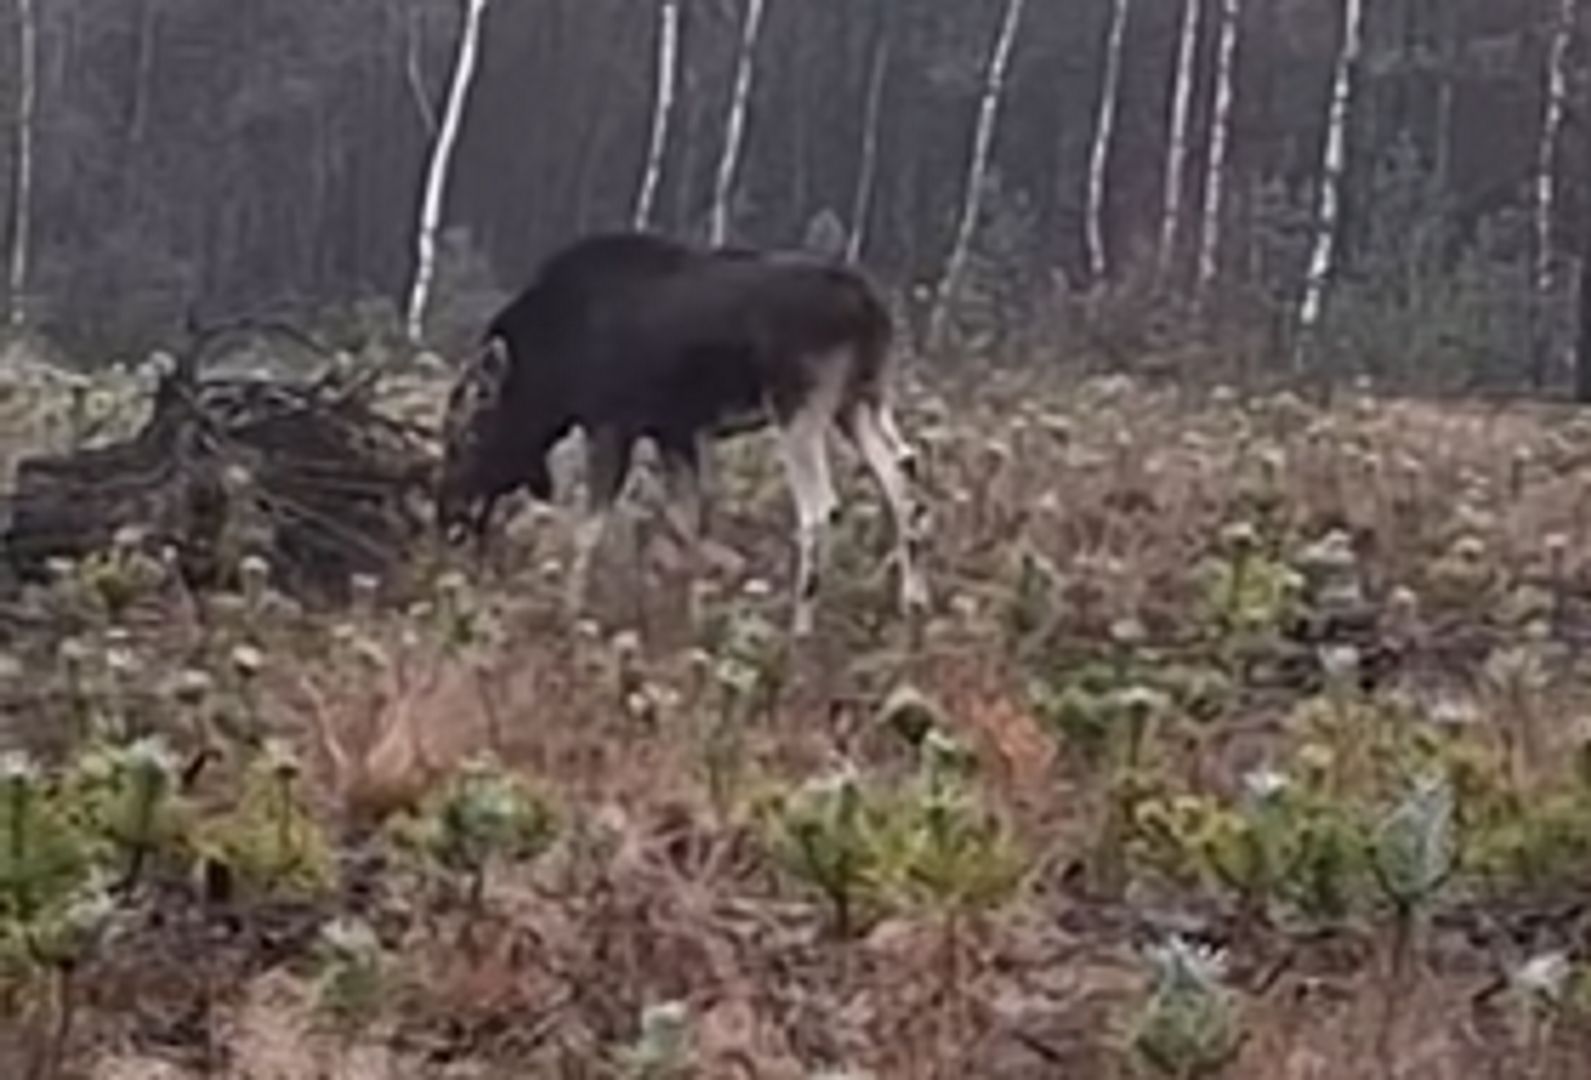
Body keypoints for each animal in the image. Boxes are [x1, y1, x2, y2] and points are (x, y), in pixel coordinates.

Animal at [442, 230, 929, 633]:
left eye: (468, 437)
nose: (450, 516)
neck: (550, 374)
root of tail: (872, 311)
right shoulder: (674, 429)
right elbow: (687, 523)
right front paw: (691, 614)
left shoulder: (612, 424)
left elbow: (590, 527)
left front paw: (569, 613)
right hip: (861, 401)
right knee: (901, 477)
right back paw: (912, 603)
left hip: (800, 406)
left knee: (820, 508)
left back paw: (801, 629)